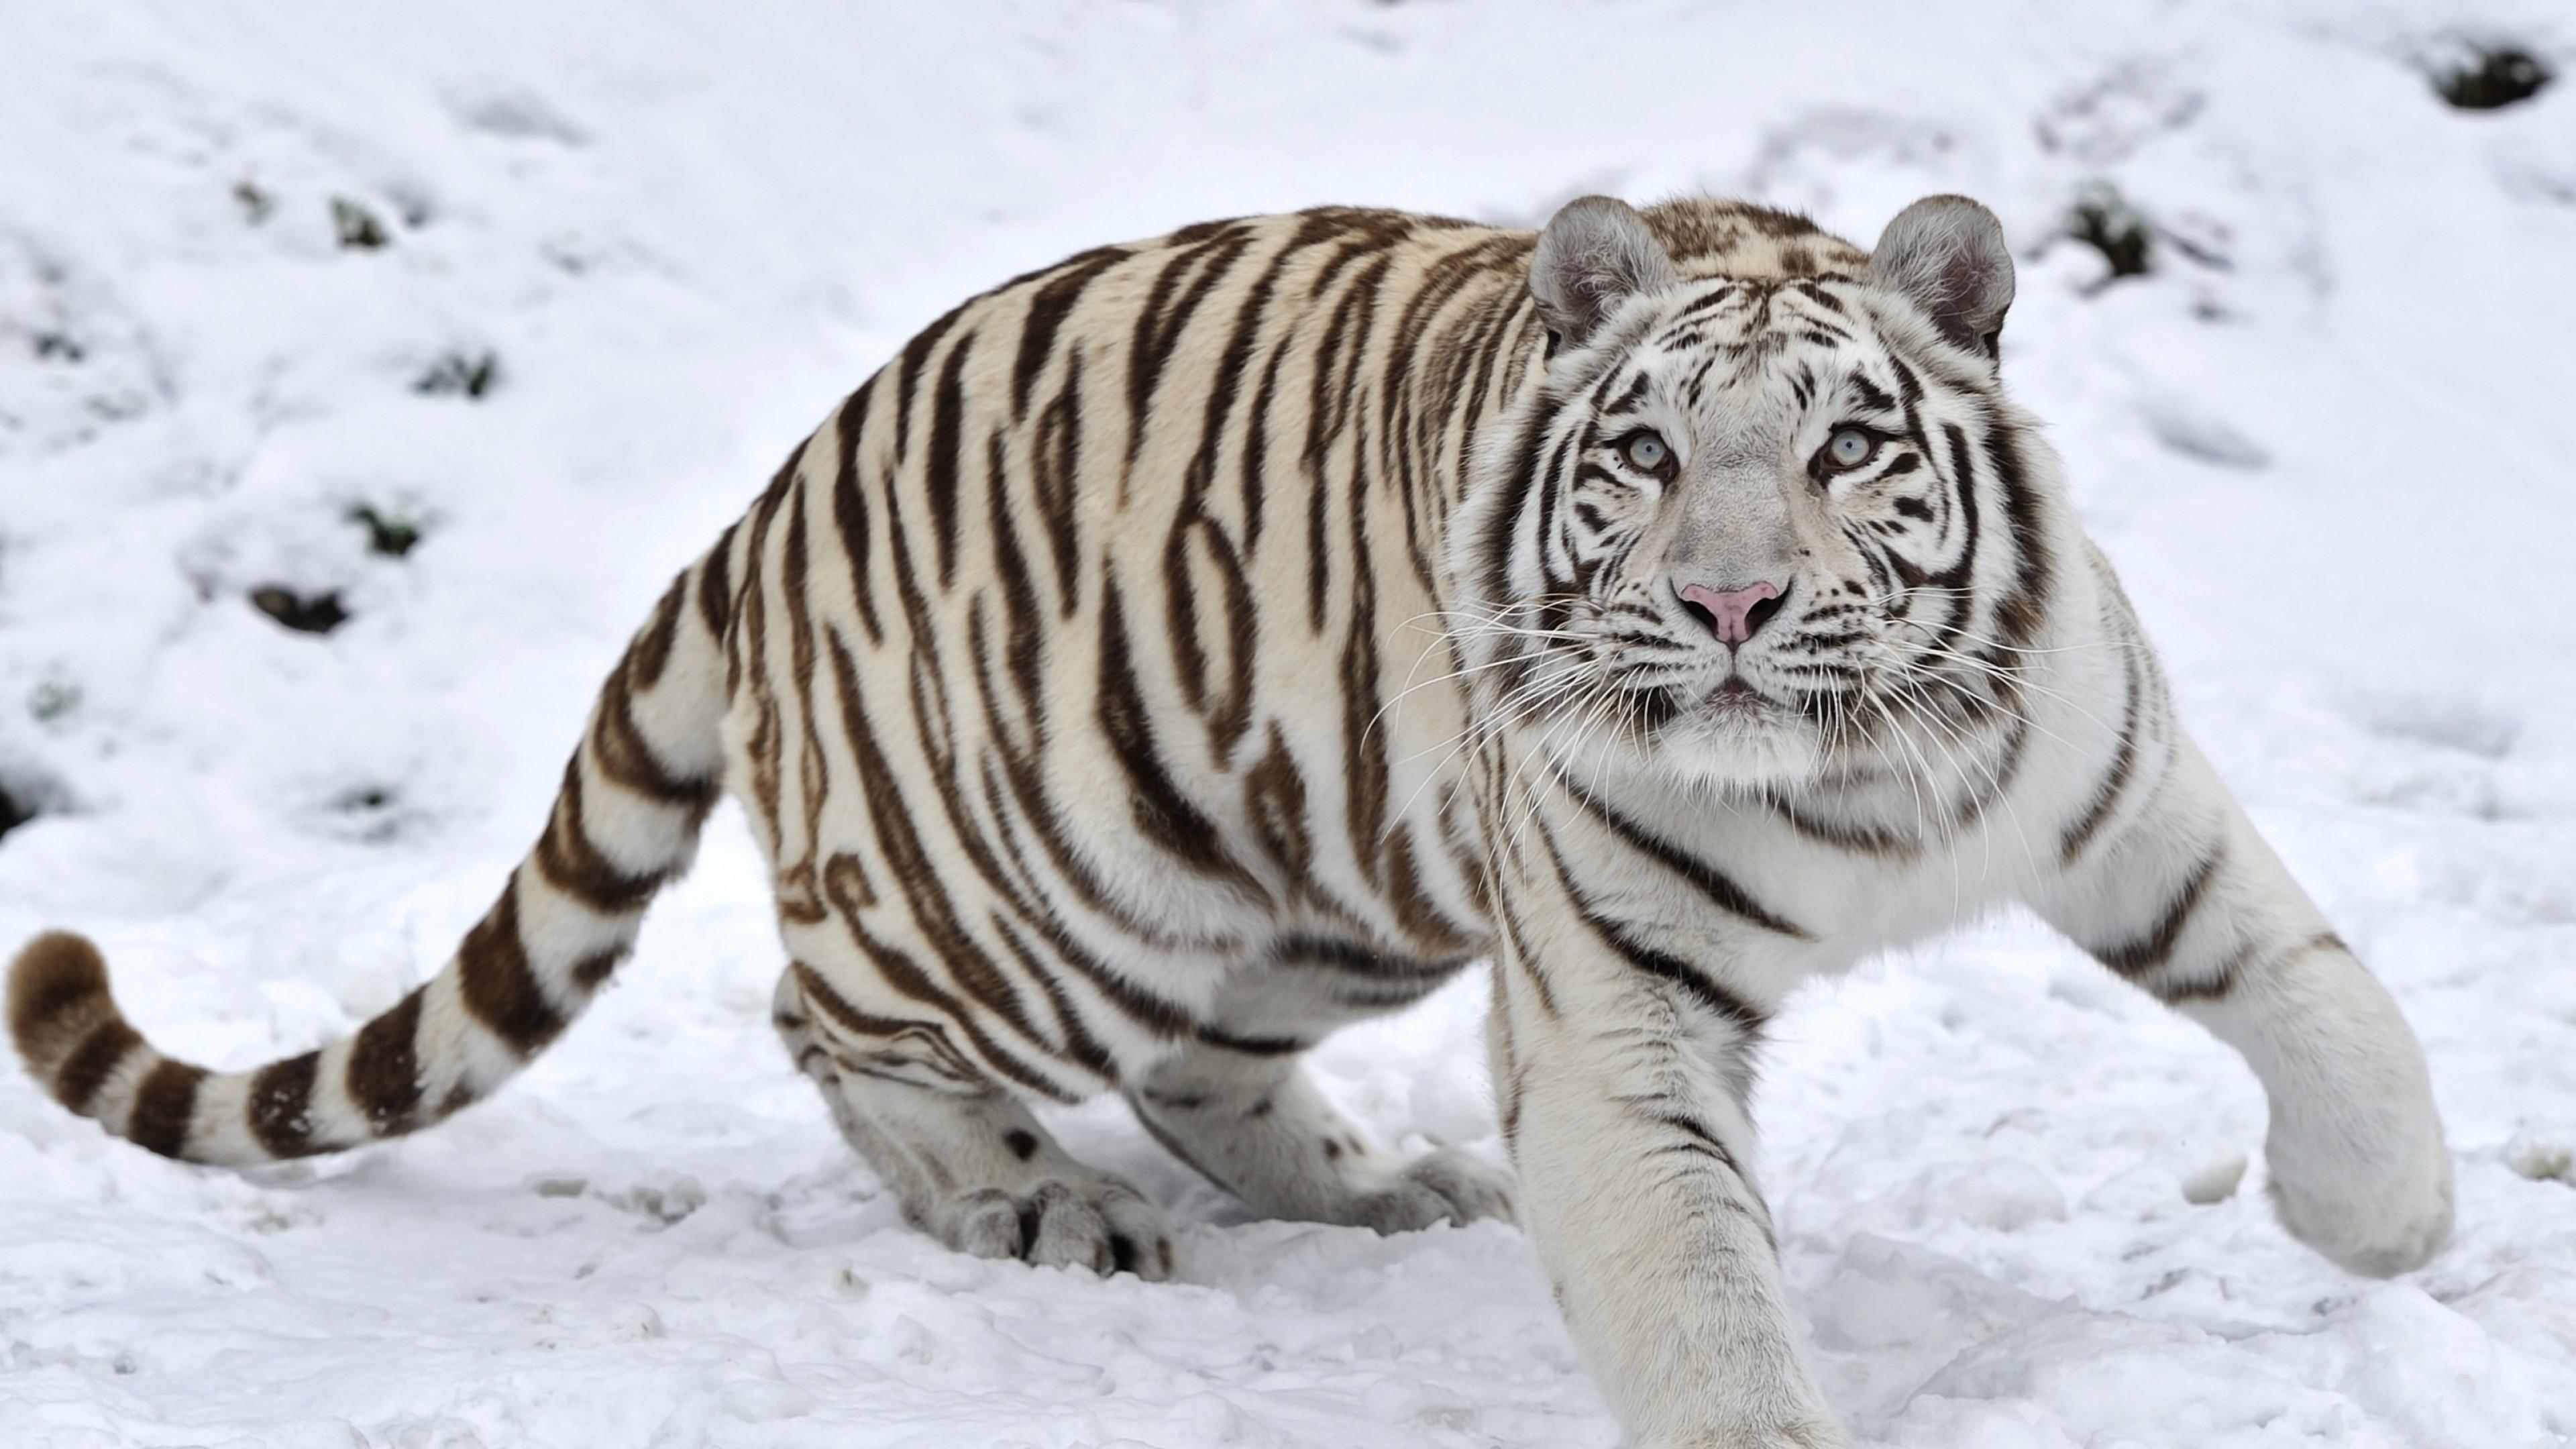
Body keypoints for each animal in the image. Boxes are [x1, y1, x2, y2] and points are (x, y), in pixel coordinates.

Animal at [7, 193, 2454, 1447]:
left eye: (1848, 448)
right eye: (1651, 455)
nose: (1732, 603)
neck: (1850, 774)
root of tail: (768, 498)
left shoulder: (2118, 791)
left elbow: (2333, 999)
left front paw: (2380, 1233)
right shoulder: (1617, 1020)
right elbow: (1702, 1299)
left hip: (1316, 878)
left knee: (1203, 1067)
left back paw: (1380, 1192)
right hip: (1026, 887)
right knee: (832, 1015)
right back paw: (1037, 1205)